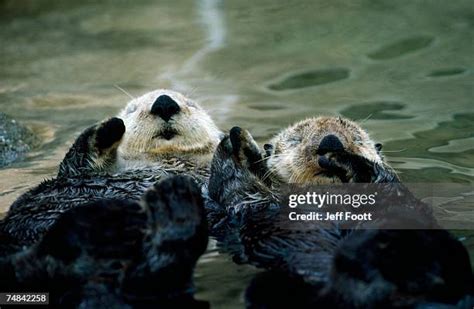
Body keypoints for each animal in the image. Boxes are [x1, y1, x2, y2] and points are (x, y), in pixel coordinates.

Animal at [0, 88, 222, 245]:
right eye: (132, 109)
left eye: (192, 105)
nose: (164, 103)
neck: (169, 158)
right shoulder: (79, 170)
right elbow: (77, 158)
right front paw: (112, 126)